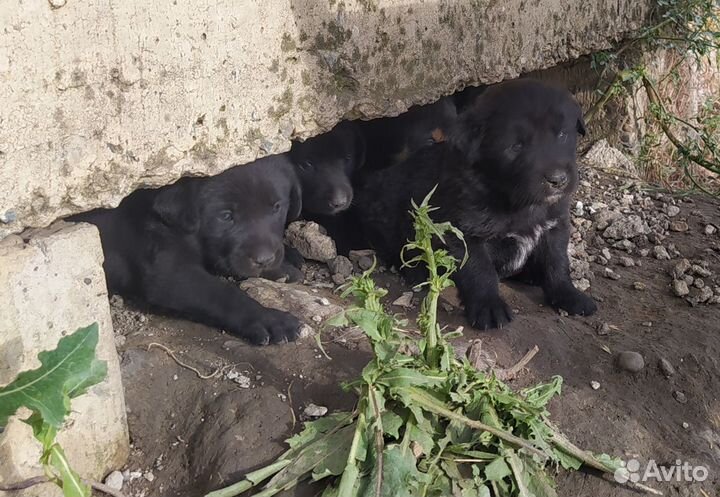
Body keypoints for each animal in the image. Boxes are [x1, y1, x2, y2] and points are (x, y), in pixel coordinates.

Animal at [70, 157, 300, 342]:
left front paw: (281, 268)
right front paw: (269, 319)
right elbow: (224, 293)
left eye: (276, 207)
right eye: (226, 216)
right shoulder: (168, 274)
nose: (265, 259)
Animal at [354, 78, 596, 330]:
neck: (519, 203)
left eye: (562, 135)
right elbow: (479, 271)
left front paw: (569, 295)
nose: (558, 180)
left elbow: (557, 263)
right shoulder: (462, 232)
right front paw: (489, 307)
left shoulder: (555, 224)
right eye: (516, 146)